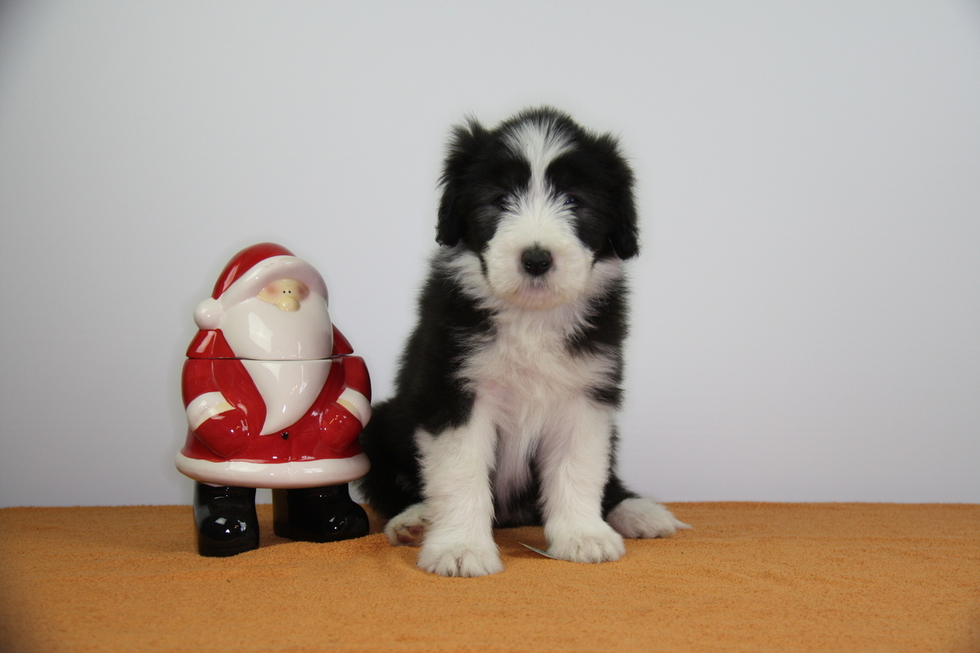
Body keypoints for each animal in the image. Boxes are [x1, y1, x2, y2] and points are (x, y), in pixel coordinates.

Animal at [357, 107, 687, 577]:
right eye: (498, 201)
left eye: (575, 201)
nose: (536, 259)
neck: (531, 318)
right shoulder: (453, 390)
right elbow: (460, 473)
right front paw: (460, 548)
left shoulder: (587, 393)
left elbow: (578, 467)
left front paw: (582, 536)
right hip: (381, 425)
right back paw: (415, 520)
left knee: (608, 479)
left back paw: (637, 511)